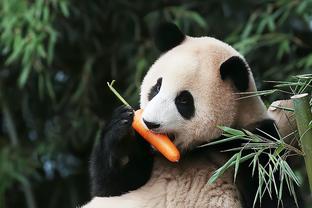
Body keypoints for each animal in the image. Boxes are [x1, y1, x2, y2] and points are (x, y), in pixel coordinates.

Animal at [82, 23, 302, 208]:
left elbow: (273, 193)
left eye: (184, 101)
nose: (149, 123)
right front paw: (122, 127)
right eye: (157, 87)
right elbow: (113, 186)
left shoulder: (256, 145)